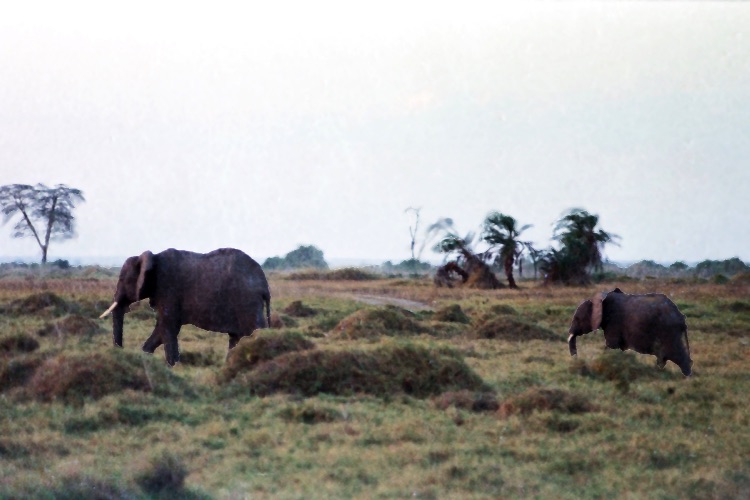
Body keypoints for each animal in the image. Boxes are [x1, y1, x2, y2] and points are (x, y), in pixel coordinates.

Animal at [100, 248, 270, 366]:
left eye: (123, 279)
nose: (120, 352)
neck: (153, 257)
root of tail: (264, 283)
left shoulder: (168, 289)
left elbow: (168, 327)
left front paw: (171, 366)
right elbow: (163, 330)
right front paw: (146, 355)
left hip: (248, 303)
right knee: (235, 337)